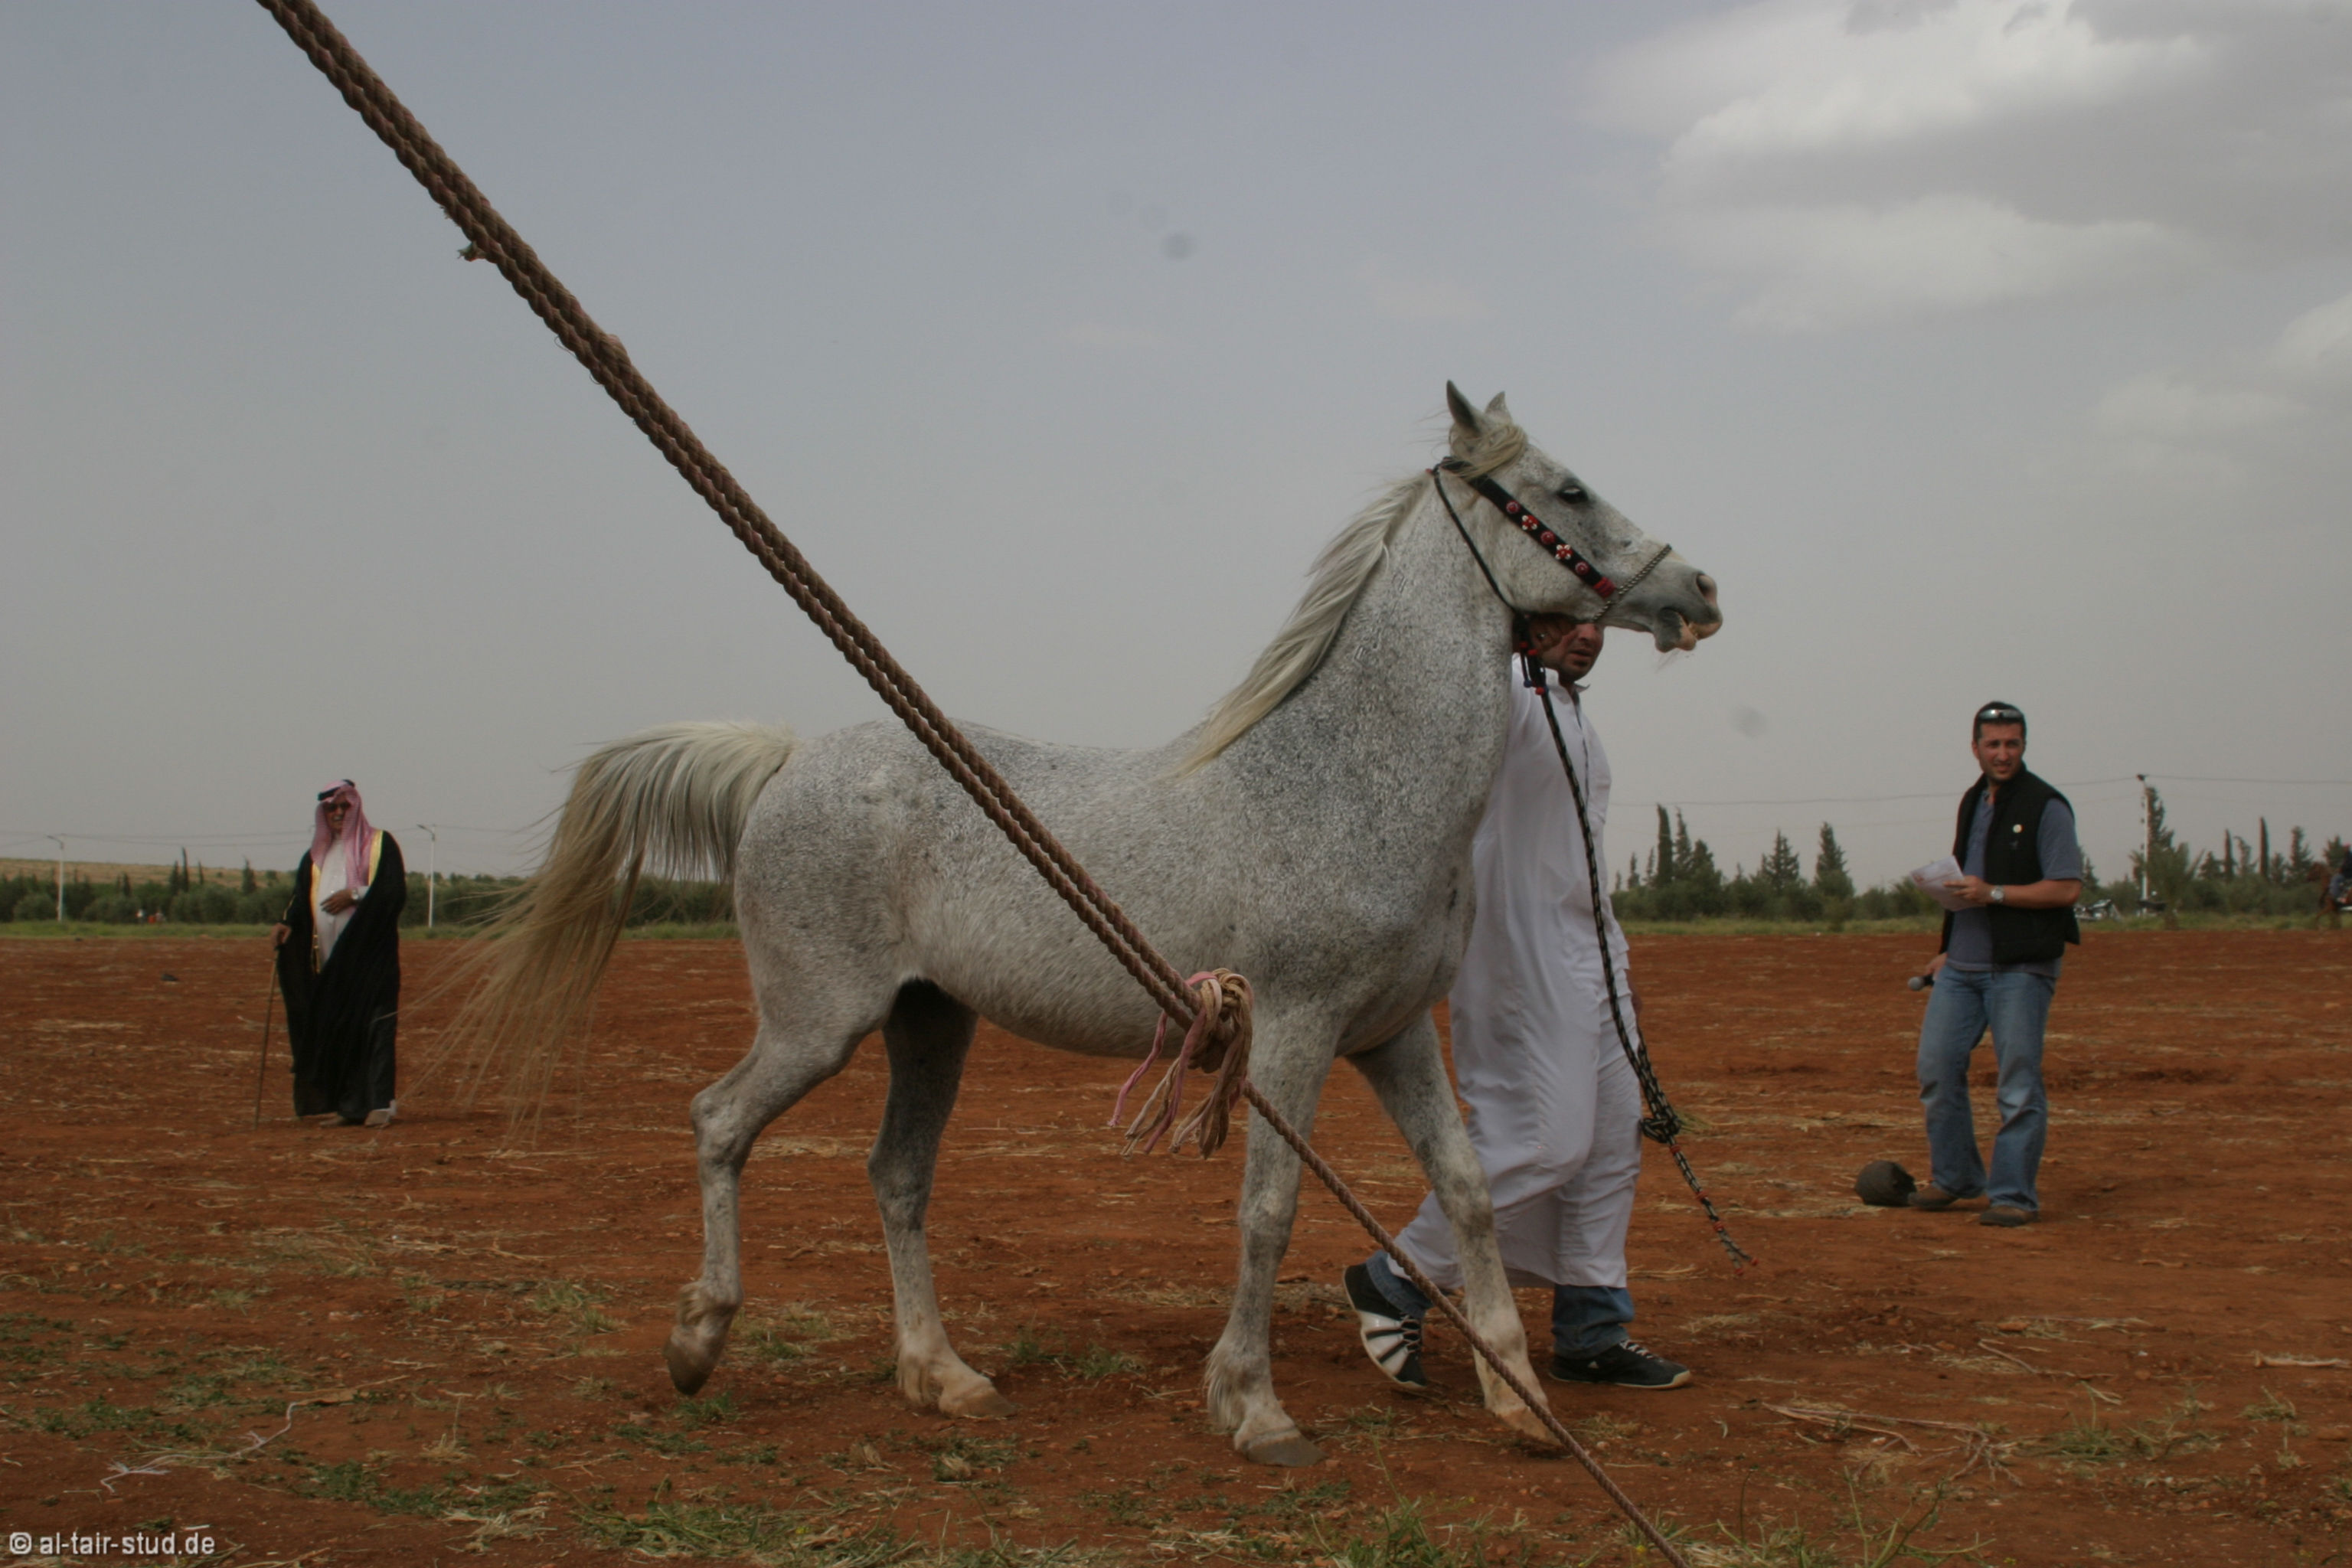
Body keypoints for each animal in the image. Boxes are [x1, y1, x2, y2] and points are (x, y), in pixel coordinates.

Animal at [451, 385, 1722, 1465]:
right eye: (1568, 490)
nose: (1701, 592)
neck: (1343, 780)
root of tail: (786, 760)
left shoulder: (1393, 1032)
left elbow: (1467, 1188)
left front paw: (1519, 1398)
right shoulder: (1297, 1031)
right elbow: (1271, 1210)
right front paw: (1254, 1409)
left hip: (931, 1023)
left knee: (896, 1176)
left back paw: (943, 1377)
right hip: (820, 1021)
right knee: (720, 1123)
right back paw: (700, 1339)